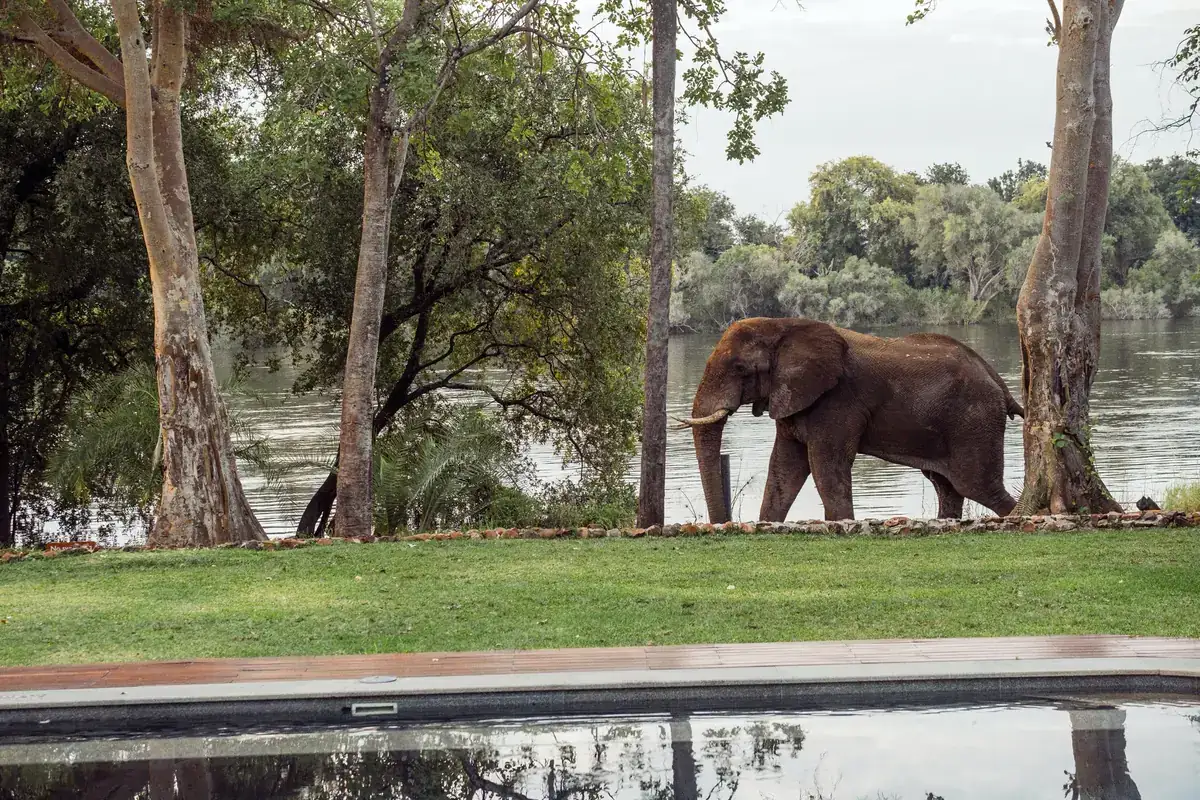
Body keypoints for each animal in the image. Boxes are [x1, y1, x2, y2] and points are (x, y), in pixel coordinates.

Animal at [677, 317, 1023, 523]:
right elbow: (784, 469)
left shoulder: (838, 401)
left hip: (974, 421)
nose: (724, 524)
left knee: (979, 486)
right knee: (948, 487)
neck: (784, 325)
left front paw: (842, 524)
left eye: (739, 369)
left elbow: (825, 468)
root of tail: (999, 384)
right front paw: (770, 525)